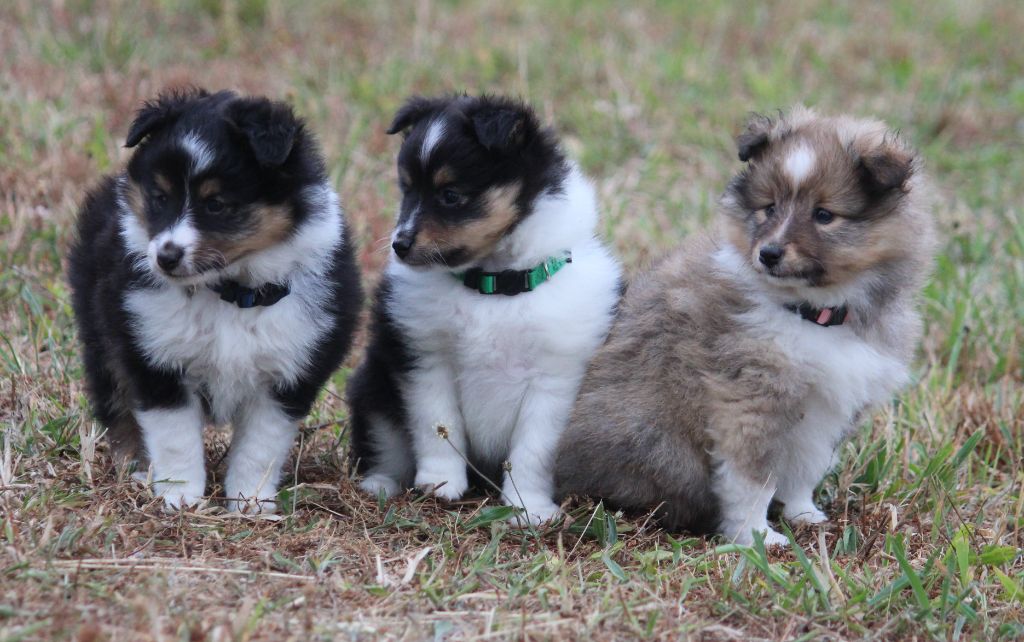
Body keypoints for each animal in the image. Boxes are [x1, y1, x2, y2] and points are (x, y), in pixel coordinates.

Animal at [69, 89, 364, 511]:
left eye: (216, 205)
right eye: (160, 197)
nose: (165, 257)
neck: (231, 293)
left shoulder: (288, 374)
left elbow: (260, 445)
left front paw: (249, 504)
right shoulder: (156, 358)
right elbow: (175, 437)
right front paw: (181, 497)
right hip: (101, 335)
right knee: (115, 403)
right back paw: (135, 468)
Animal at [348, 96, 622, 528]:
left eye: (450, 195)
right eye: (406, 189)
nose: (399, 245)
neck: (495, 287)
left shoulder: (556, 378)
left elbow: (533, 449)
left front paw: (529, 508)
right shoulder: (426, 357)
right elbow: (437, 423)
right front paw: (441, 483)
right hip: (373, 387)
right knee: (384, 441)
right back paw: (380, 484)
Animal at [552, 106, 937, 548]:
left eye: (824, 215)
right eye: (768, 207)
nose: (768, 253)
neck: (812, 313)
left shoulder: (827, 407)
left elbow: (805, 467)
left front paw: (805, 514)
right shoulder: (750, 396)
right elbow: (753, 479)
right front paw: (757, 538)